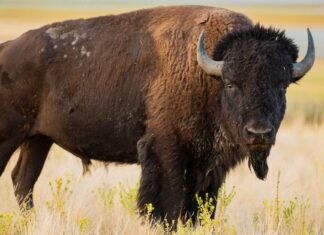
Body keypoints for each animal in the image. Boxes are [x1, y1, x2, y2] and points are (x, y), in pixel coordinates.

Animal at [0, 5, 314, 225]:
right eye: (231, 83)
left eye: (283, 85)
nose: (259, 133)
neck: (206, 75)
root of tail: (7, 48)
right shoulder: (165, 151)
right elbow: (165, 207)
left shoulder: (210, 166)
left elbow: (198, 208)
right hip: (11, 137)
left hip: (38, 140)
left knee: (23, 181)